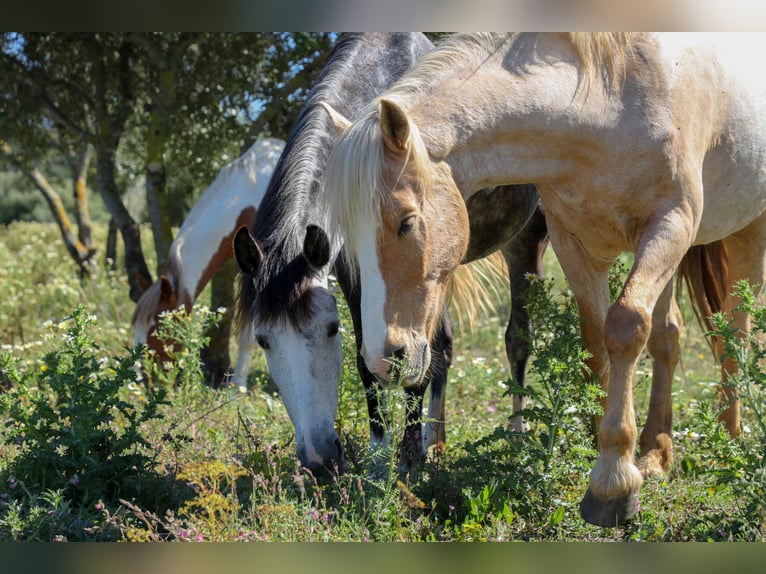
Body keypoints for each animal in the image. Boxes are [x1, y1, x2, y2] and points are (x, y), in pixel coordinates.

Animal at [234, 32, 552, 482]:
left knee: (516, 339)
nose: (319, 461)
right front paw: (379, 457)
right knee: (445, 346)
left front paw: (408, 461)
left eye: (330, 330)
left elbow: (414, 364)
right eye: (262, 340)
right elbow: (369, 361)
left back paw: (515, 438)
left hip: (526, 241)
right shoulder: (355, 276)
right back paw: (435, 441)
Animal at [324, 30, 766, 528]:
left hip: (744, 234)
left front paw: (613, 483)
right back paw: (656, 454)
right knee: (668, 337)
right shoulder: (574, 242)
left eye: (406, 222)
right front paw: (602, 448)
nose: (383, 360)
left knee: (735, 334)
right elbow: (597, 340)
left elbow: (626, 326)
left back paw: (729, 435)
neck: (607, 101)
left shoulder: (671, 223)